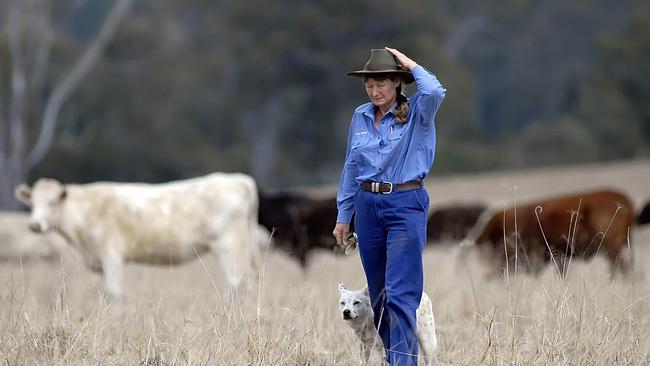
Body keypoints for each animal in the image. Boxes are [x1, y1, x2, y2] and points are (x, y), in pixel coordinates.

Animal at [15, 173, 258, 298]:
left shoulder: (111, 255)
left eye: (52, 202)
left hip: (229, 247)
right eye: (32, 203)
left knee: (236, 284)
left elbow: (113, 293)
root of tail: (239, 180)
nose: (34, 224)